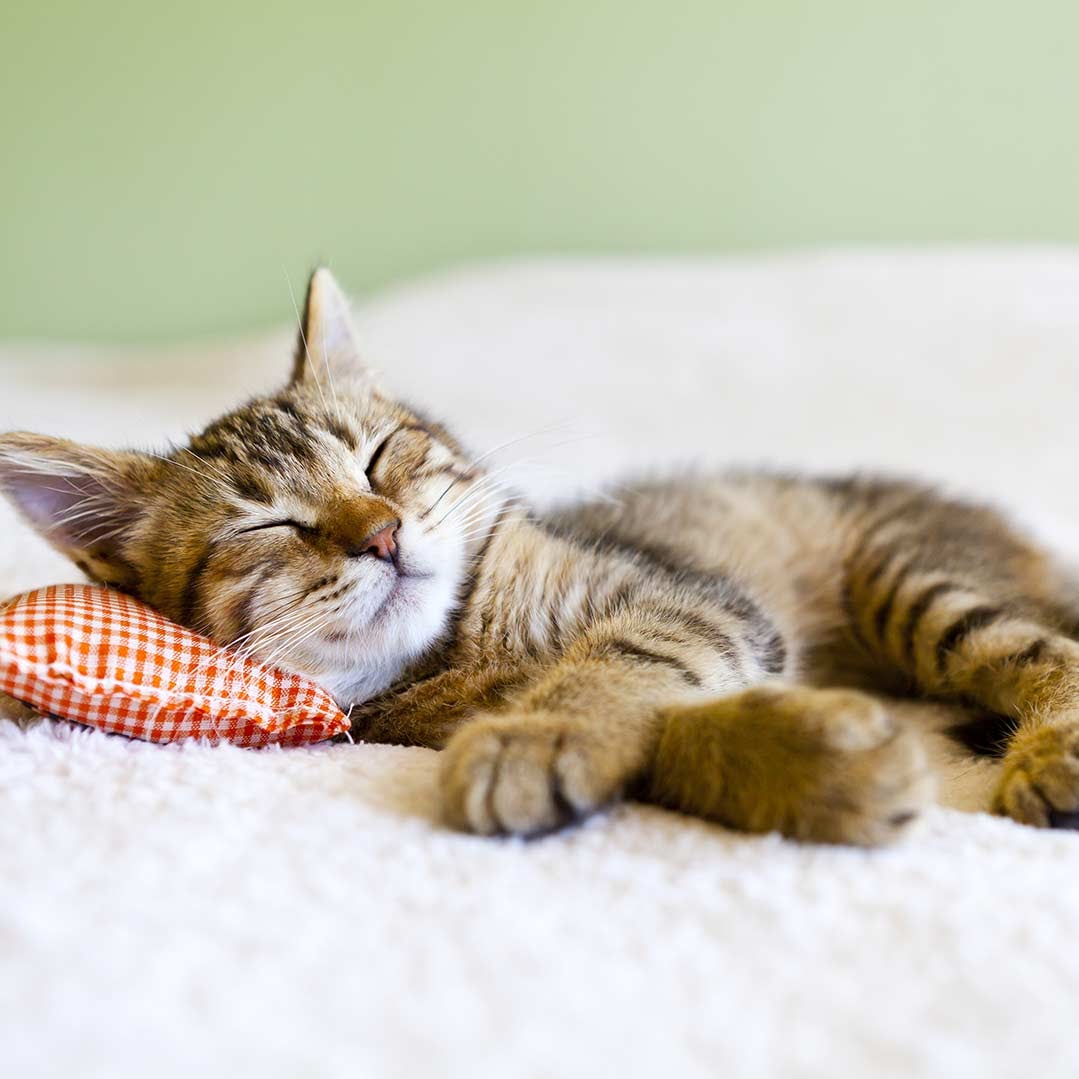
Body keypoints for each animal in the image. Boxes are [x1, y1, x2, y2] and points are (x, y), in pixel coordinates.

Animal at [2, 267, 1079, 841]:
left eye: (380, 457)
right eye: (268, 526)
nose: (382, 532)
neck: (461, 650)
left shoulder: (691, 596)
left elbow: (618, 662)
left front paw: (537, 733)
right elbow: (668, 735)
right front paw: (817, 766)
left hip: (914, 577)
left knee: (1047, 655)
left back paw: (1048, 754)